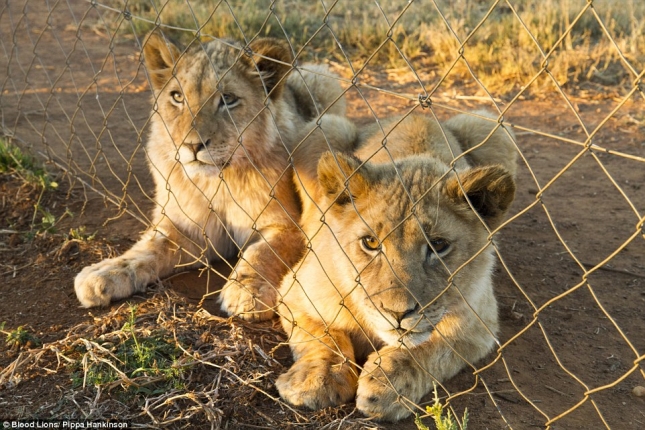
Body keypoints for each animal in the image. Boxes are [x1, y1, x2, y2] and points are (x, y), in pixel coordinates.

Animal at [73, 30, 348, 320]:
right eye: (177, 97)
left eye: (227, 99)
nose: (192, 145)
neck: (217, 182)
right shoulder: (187, 228)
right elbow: (148, 248)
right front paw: (104, 272)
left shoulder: (289, 225)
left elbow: (263, 251)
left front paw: (247, 290)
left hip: (321, 79)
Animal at [276, 111, 520, 420]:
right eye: (370, 242)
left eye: (438, 245)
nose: (397, 314)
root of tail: (419, 113)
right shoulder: (295, 290)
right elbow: (322, 335)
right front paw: (316, 379)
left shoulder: (479, 323)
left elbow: (433, 345)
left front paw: (388, 384)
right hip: (328, 126)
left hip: (492, 126)